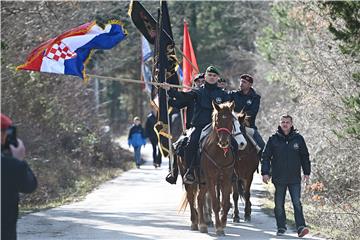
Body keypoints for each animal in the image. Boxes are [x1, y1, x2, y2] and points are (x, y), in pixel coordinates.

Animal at [197, 100, 245, 235]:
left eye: (230, 121)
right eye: (217, 121)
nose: (224, 142)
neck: (219, 153)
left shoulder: (227, 179)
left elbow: (225, 203)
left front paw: (223, 224)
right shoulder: (211, 179)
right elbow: (215, 203)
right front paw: (218, 227)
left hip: (205, 182)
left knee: (200, 198)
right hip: (204, 181)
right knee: (198, 198)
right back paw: (201, 224)